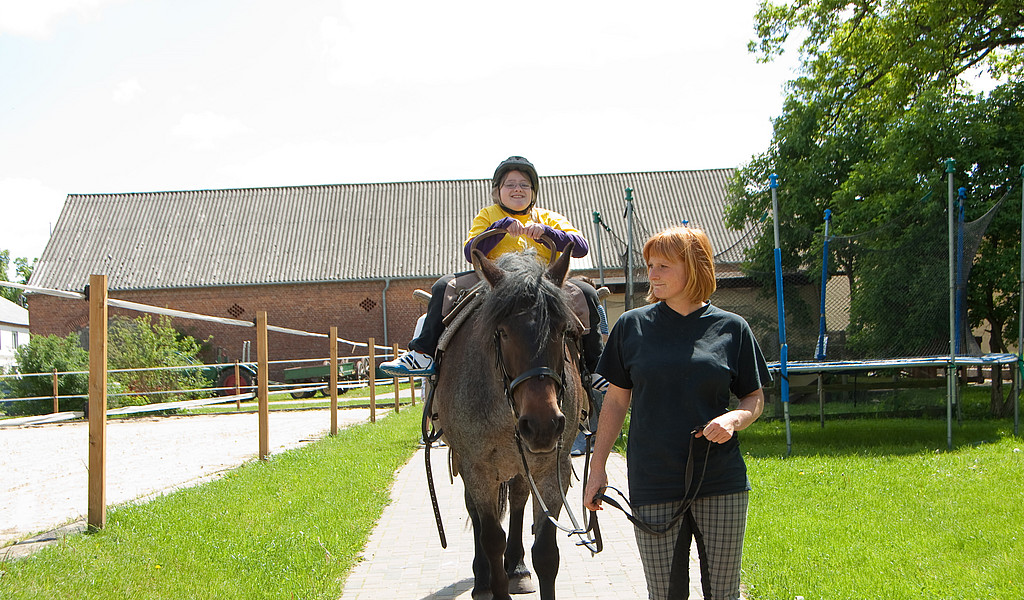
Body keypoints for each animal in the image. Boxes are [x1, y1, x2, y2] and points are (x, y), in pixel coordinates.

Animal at [431, 244, 586, 600]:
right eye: (501, 332)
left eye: (562, 330)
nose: (542, 425)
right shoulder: (477, 468)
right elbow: (491, 538)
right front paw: (491, 580)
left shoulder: (551, 469)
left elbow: (546, 553)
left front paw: (522, 567)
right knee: (475, 513)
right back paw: (482, 580)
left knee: (517, 501)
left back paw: (516, 567)